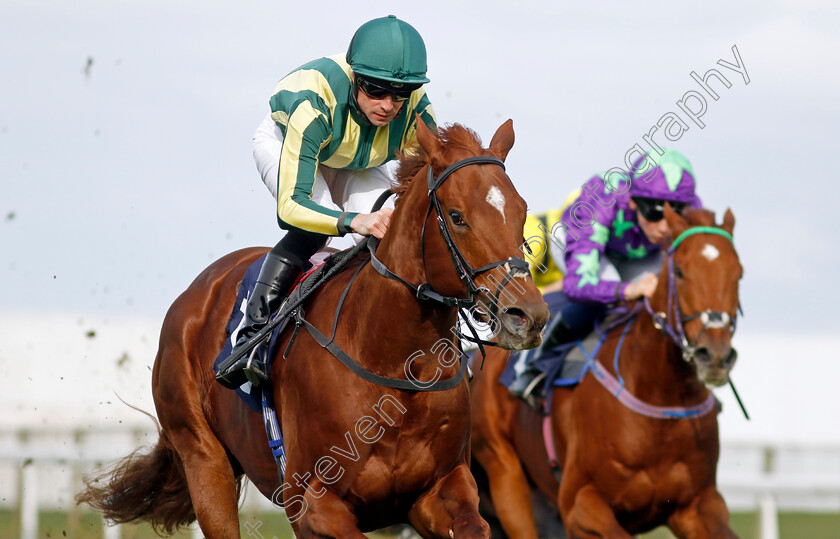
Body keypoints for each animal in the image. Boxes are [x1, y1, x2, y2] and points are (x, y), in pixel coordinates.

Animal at [77, 119, 552, 539]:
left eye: (522, 211)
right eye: (457, 216)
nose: (527, 315)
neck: (394, 362)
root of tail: (196, 292)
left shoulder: (438, 490)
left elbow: (474, 524)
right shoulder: (311, 503)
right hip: (203, 459)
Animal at [472, 207, 740, 539]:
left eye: (738, 274)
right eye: (679, 272)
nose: (714, 355)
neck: (660, 395)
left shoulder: (698, 505)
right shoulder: (579, 504)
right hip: (506, 476)